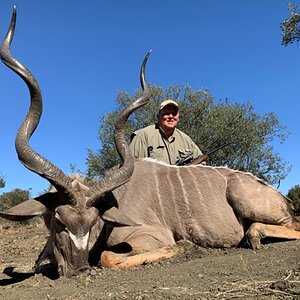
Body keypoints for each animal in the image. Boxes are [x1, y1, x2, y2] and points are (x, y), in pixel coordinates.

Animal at [0, 8, 300, 278]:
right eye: (59, 221)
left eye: (94, 221)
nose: (79, 270)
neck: (116, 200)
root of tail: (281, 197)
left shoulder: (152, 235)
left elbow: (108, 256)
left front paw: (186, 247)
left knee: (283, 226)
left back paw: (255, 236)